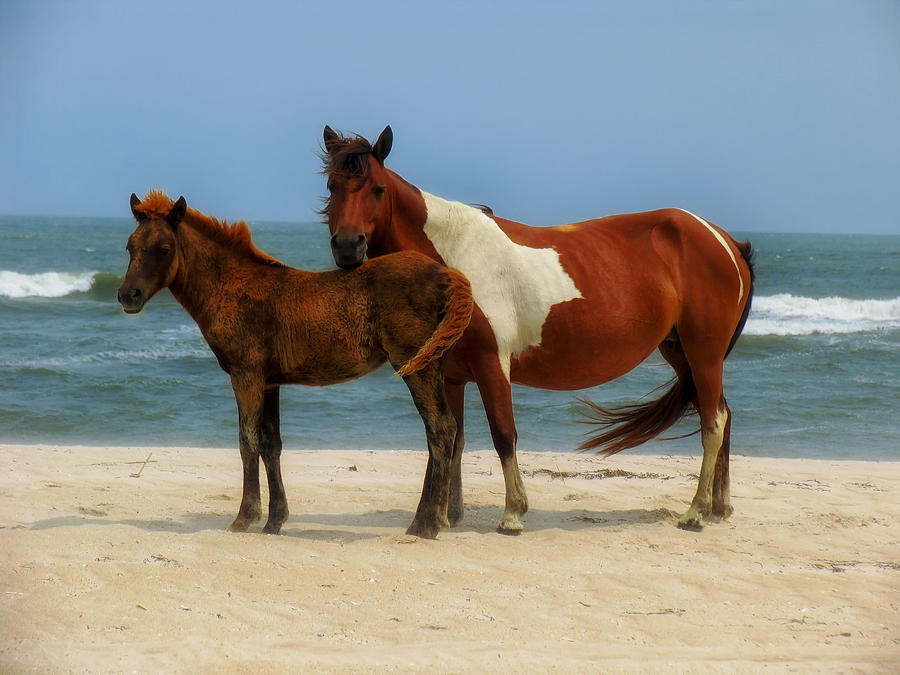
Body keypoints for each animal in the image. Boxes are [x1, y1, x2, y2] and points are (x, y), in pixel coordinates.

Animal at [116, 190, 474, 540]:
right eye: (130, 247)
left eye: (163, 249)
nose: (127, 296)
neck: (233, 286)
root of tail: (447, 276)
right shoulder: (269, 381)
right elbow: (271, 444)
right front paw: (274, 521)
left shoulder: (245, 375)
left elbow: (248, 440)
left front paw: (245, 518)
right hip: (432, 365)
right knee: (442, 431)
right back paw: (427, 520)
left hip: (417, 367)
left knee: (440, 428)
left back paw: (426, 524)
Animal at [320, 125, 756, 532]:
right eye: (332, 186)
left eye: (377, 189)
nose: (347, 246)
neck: (456, 258)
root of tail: (725, 240)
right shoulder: (453, 375)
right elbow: (454, 438)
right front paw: (447, 516)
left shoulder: (492, 364)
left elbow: (503, 434)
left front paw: (513, 514)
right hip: (681, 353)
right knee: (723, 413)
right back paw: (719, 508)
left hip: (704, 354)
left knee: (713, 423)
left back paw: (695, 512)